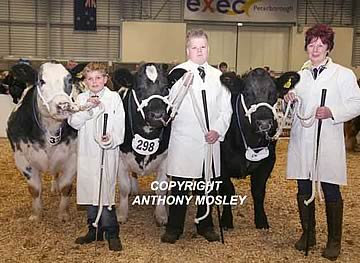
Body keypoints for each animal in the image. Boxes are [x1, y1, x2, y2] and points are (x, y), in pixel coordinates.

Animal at [6, 63, 80, 222]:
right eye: (41, 81)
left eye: (70, 80)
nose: (63, 105)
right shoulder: (21, 158)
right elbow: (35, 189)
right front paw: (36, 215)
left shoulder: (73, 157)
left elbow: (66, 187)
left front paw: (63, 214)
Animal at [111, 63, 172, 226]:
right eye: (139, 89)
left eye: (166, 88)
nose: (157, 114)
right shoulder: (121, 158)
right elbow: (124, 188)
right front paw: (122, 214)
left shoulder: (165, 158)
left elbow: (161, 188)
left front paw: (161, 215)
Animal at [221, 68, 300, 231]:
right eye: (246, 93)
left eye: (274, 93)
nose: (264, 123)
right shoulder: (220, 163)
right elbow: (227, 190)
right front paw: (226, 221)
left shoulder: (268, 162)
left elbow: (258, 191)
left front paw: (261, 220)